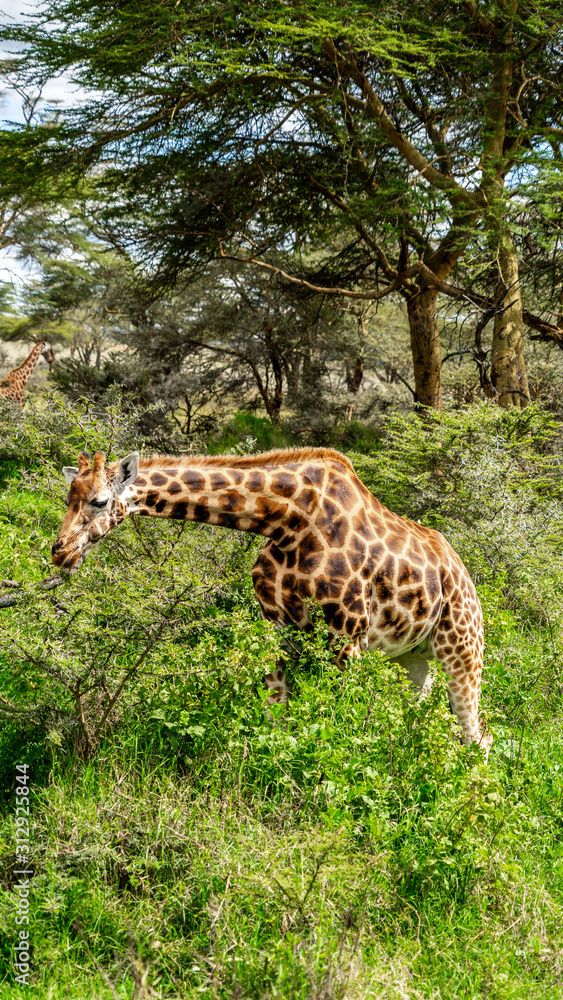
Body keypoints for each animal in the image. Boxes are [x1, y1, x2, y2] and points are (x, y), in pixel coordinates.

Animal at [51, 447, 492, 757]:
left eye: (100, 501)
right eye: (67, 499)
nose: (60, 552)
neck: (287, 520)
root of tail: (466, 577)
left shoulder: (347, 634)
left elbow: (338, 725)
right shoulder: (277, 625)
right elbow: (277, 715)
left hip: (462, 649)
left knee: (478, 734)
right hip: (410, 657)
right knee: (417, 714)